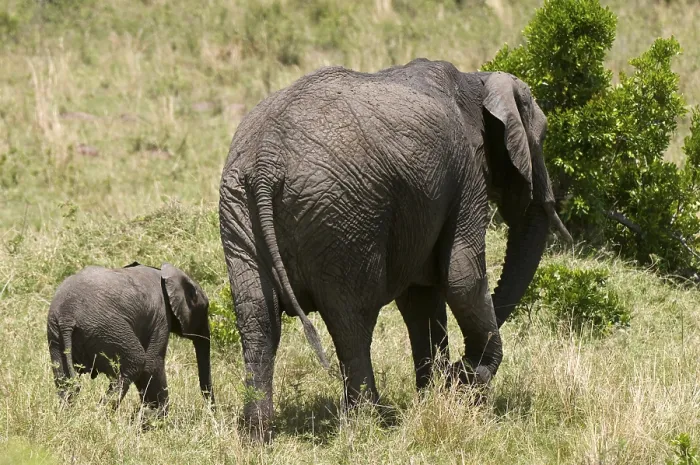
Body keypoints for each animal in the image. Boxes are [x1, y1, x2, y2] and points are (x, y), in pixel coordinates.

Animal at [46, 261, 214, 415]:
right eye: (205, 309)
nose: (212, 412)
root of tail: (67, 316)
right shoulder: (160, 317)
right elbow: (152, 364)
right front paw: (157, 420)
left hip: (56, 334)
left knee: (64, 379)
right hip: (106, 329)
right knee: (134, 362)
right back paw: (100, 415)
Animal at [218, 58, 571, 439]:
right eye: (542, 138)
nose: (460, 370)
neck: (477, 78)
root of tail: (266, 162)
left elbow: (421, 298)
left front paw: (435, 395)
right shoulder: (464, 175)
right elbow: (461, 277)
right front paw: (463, 384)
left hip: (239, 208)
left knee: (258, 318)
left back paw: (256, 434)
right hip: (345, 217)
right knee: (352, 320)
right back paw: (370, 421)